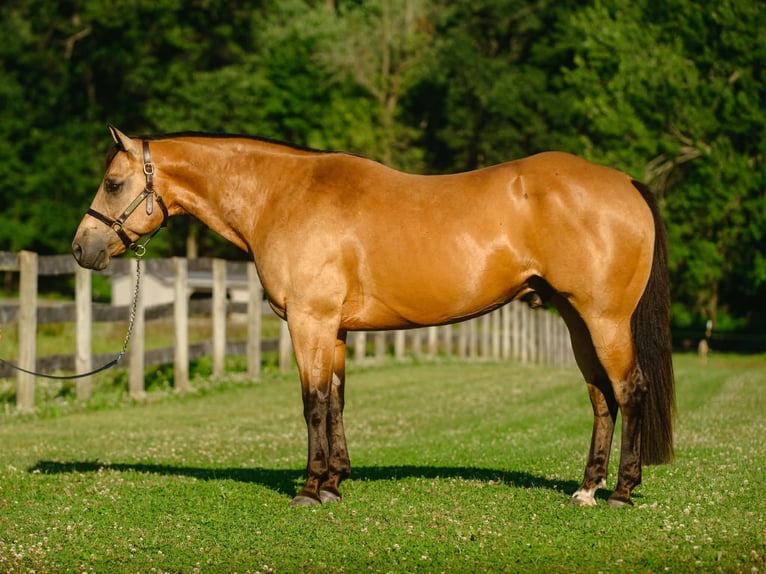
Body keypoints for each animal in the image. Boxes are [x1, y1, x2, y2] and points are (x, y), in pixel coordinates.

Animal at [72, 126, 675, 508]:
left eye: (114, 183)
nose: (82, 249)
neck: (283, 196)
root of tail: (624, 183)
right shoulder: (333, 330)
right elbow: (337, 400)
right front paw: (335, 482)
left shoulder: (309, 323)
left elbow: (313, 403)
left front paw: (310, 490)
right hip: (576, 320)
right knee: (601, 397)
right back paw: (587, 489)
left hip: (603, 319)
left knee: (629, 390)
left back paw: (621, 492)